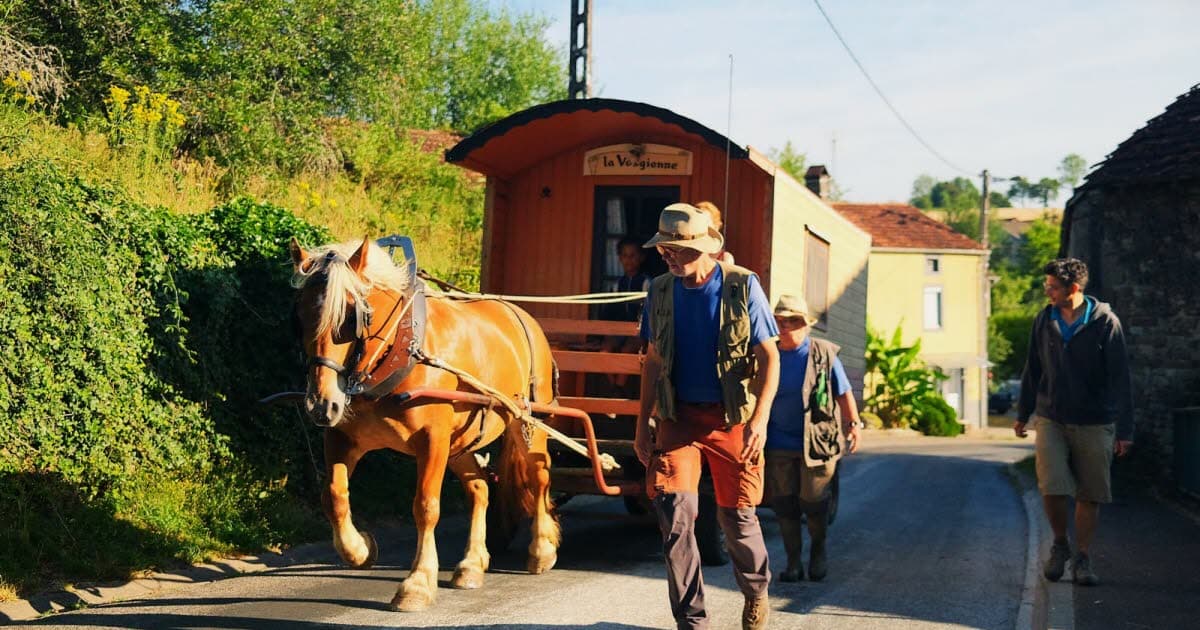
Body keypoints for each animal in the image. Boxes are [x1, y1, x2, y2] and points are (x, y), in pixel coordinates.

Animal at [288, 236, 560, 612]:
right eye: (299, 315)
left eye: (350, 317)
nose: (319, 404)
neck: (396, 352)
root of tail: (520, 313)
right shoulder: (342, 438)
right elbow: (334, 496)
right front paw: (359, 550)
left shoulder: (432, 440)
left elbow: (426, 506)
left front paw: (417, 583)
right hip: (460, 441)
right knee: (480, 488)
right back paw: (472, 564)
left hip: (525, 423)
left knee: (538, 477)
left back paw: (541, 549)